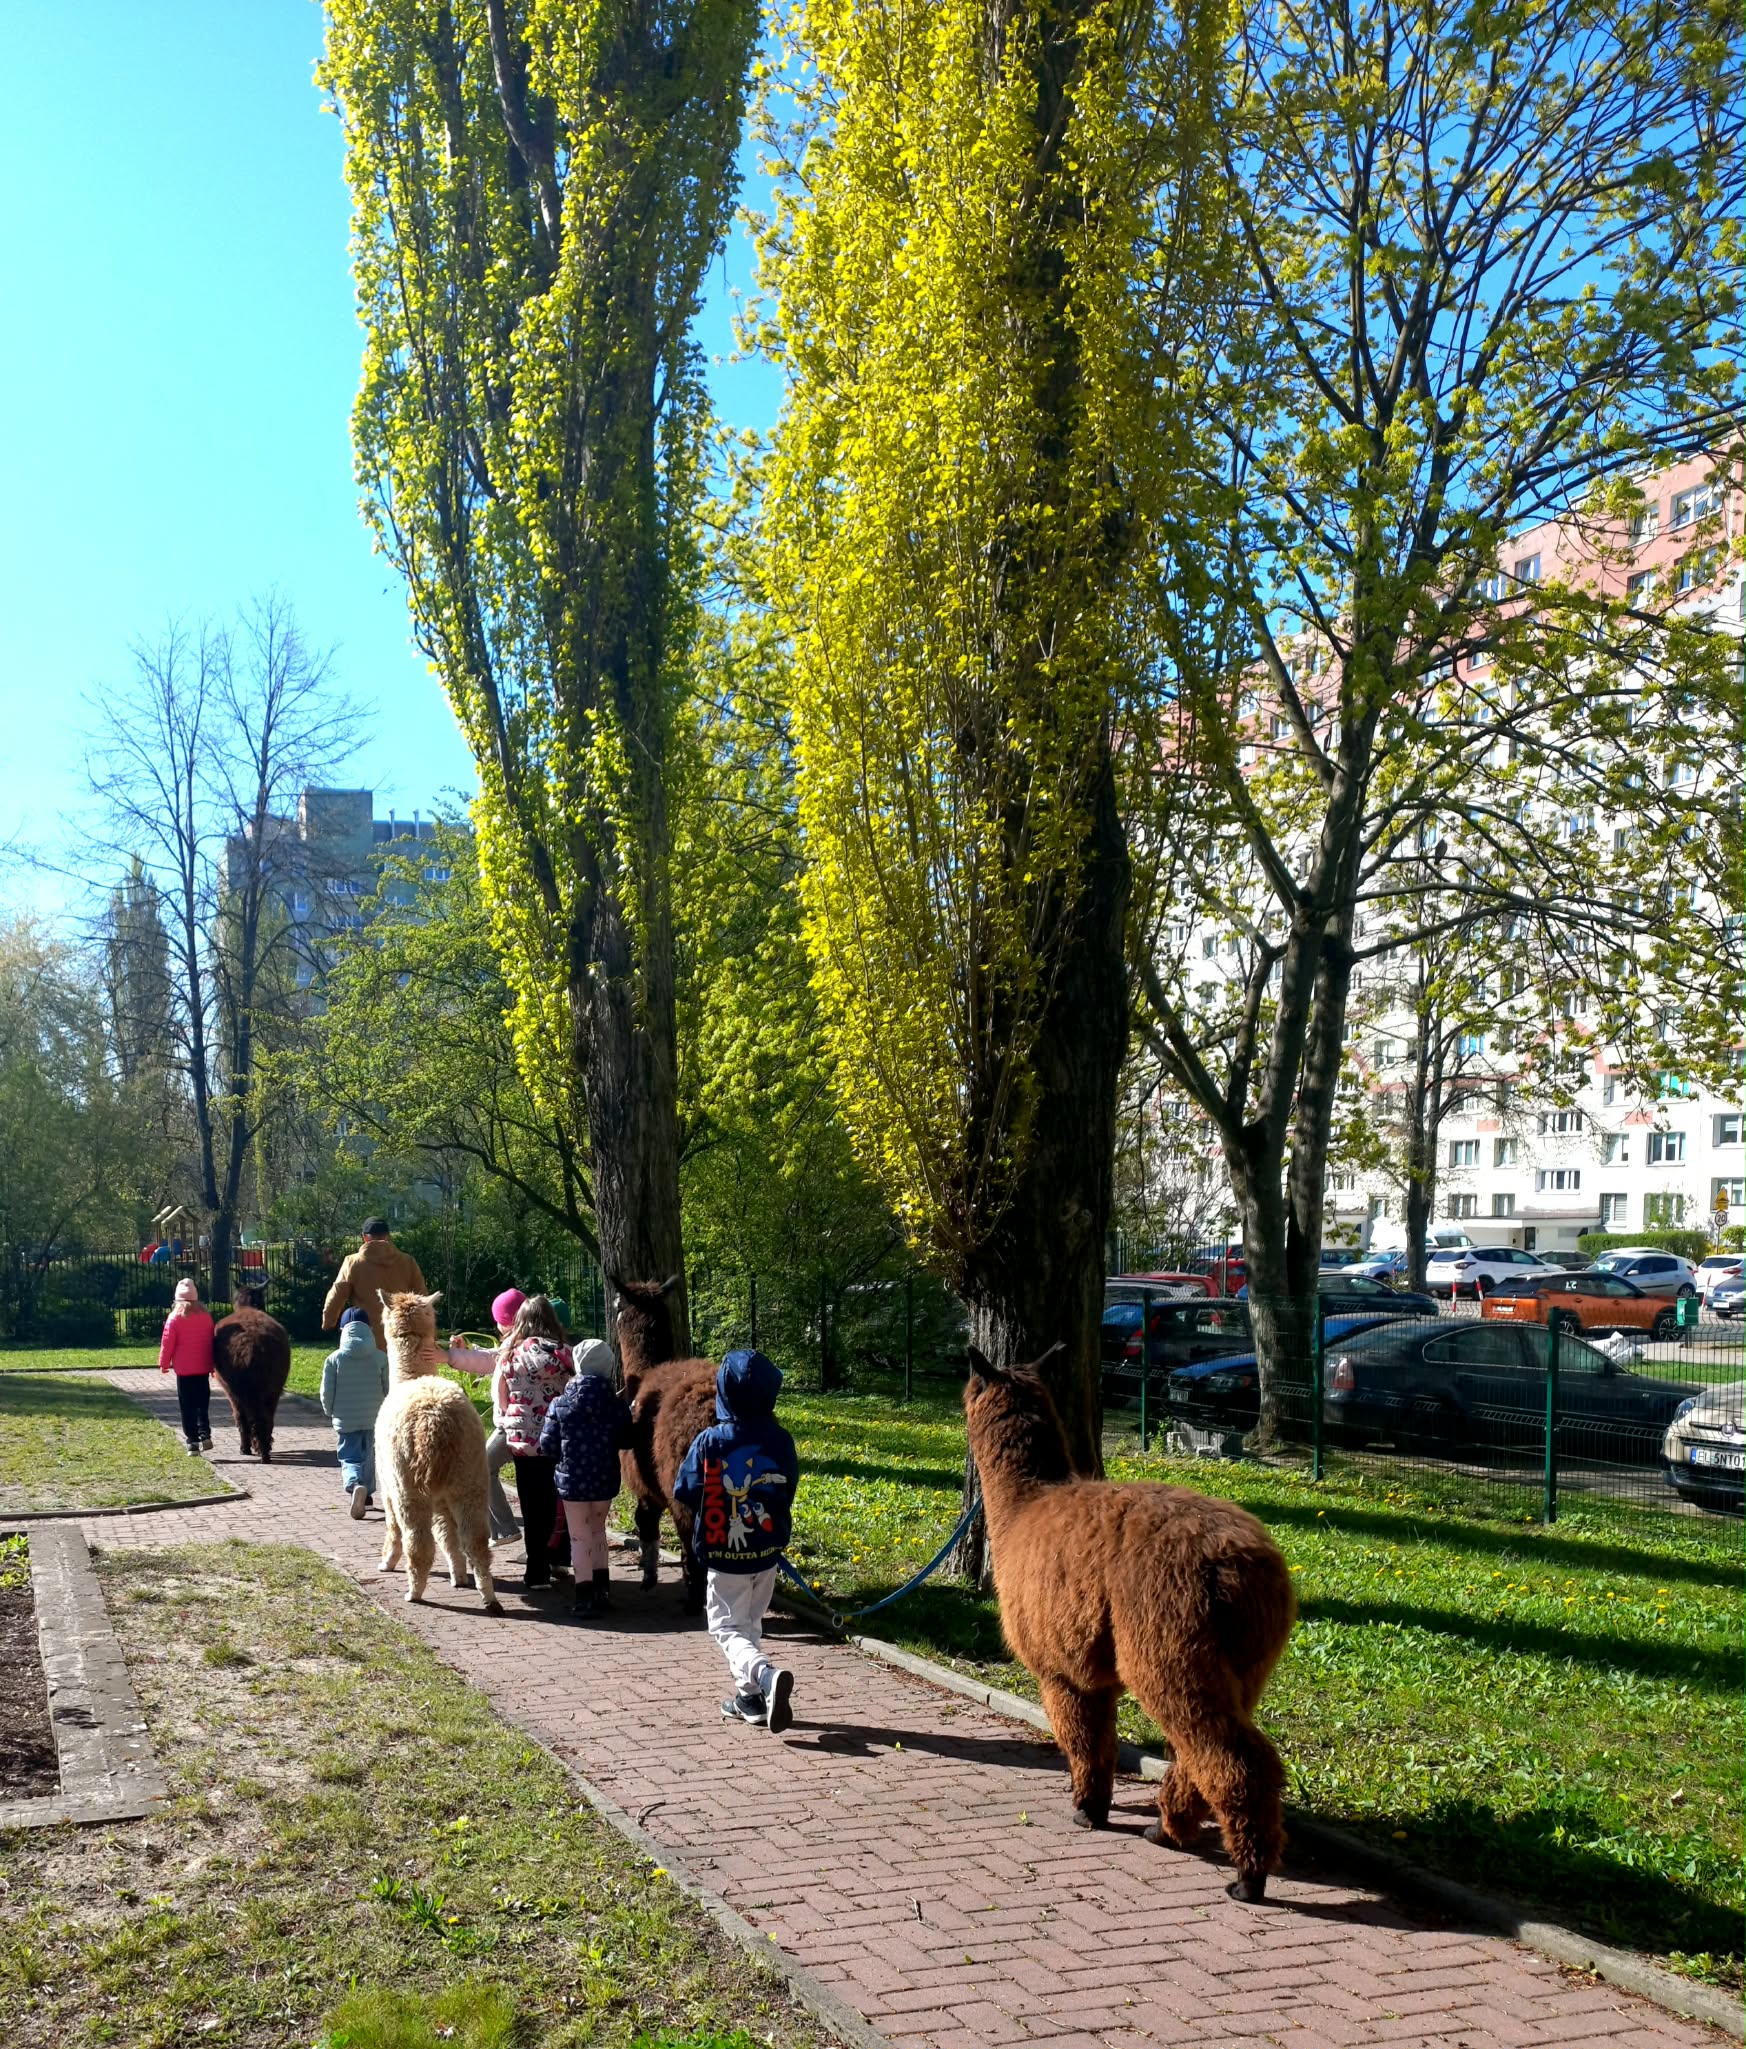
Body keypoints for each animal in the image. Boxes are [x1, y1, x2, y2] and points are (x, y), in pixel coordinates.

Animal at [375, 1290, 501, 1614]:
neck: (409, 1378)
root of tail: (435, 1422)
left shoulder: (387, 1483)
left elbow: (392, 1526)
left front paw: (386, 1562)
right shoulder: (444, 1495)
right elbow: (448, 1536)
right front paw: (459, 1576)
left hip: (408, 1484)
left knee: (417, 1541)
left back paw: (414, 1592)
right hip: (470, 1477)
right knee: (475, 1540)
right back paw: (489, 1597)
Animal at [615, 1274, 717, 1612]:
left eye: (618, 1306)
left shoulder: (646, 1486)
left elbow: (645, 1524)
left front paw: (649, 1577)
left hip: (684, 1481)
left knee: (692, 1538)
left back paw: (695, 1599)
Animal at [964, 1346, 1295, 1901]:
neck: (1022, 1508)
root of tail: (1238, 1565)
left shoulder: (1060, 1668)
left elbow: (1081, 1738)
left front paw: (1086, 1809)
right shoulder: (1093, 1665)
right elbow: (1103, 1739)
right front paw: (1096, 1804)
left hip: (1168, 1642)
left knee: (1228, 1755)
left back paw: (1248, 1878)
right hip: (1244, 1660)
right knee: (1206, 1748)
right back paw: (1167, 1829)